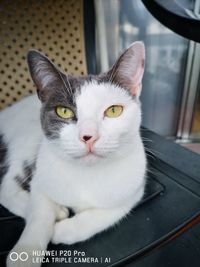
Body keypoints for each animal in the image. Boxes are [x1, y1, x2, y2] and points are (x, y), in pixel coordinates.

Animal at [0, 40, 147, 266]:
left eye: (114, 111)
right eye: (64, 111)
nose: (88, 136)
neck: (85, 175)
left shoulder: (133, 190)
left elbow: (104, 215)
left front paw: (63, 231)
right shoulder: (41, 175)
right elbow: (39, 212)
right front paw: (25, 254)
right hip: (25, 140)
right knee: (7, 186)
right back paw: (56, 211)